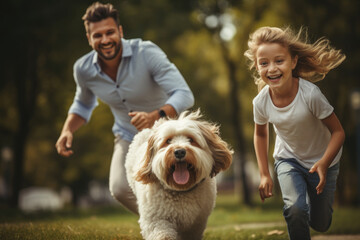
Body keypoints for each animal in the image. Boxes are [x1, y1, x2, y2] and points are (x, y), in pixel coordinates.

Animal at [126, 109, 233, 239]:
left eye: (191, 139)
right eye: (168, 141)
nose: (179, 152)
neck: (180, 190)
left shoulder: (195, 225)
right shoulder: (156, 220)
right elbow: (163, 234)